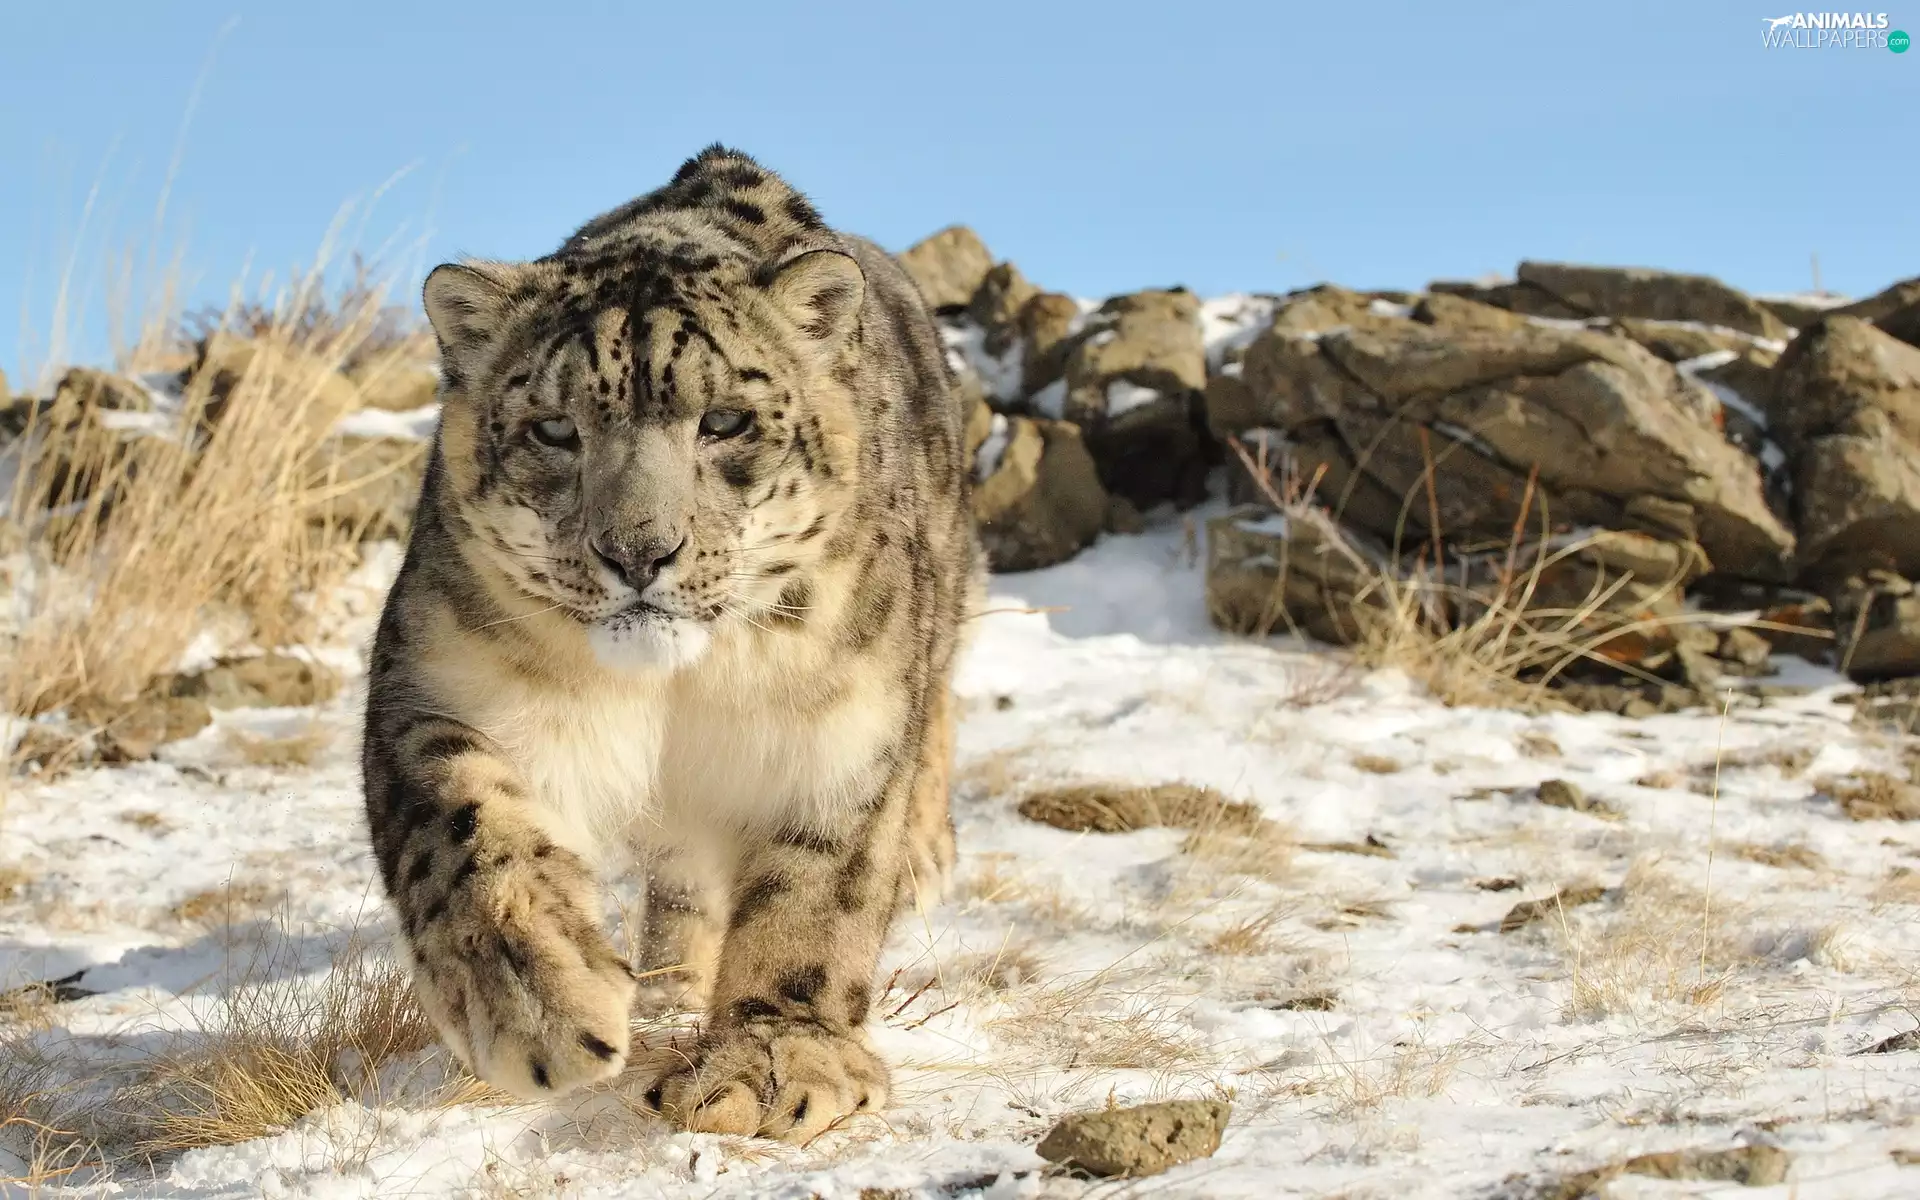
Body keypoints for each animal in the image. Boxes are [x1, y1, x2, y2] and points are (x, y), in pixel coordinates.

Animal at [360, 144, 982, 1143]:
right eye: (554, 428)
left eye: (723, 421)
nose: (638, 552)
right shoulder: (440, 679)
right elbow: (464, 827)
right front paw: (539, 1005)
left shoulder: (844, 726)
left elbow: (819, 890)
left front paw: (773, 1062)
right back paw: (662, 991)